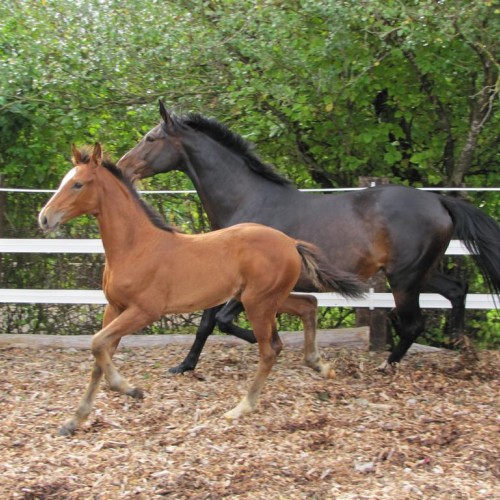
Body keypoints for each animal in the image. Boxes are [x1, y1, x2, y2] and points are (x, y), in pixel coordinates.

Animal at [37, 144, 362, 434]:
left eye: (78, 184)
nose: (44, 218)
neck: (136, 246)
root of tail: (290, 242)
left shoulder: (144, 311)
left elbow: (96, 344)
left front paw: (131, 389)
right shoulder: (114, 308)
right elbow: (99, 355)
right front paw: (73, 421)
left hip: (258, 303)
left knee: (270, 350)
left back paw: (241, 407)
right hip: (267, 298)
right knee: (308, 304)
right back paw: (319, 365)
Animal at [118, 100, 500, 372]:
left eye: (150, 138)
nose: (122, 167)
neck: (248, 200)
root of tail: (438, 199)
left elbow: (225, 321)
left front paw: (271, 343)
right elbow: (207, 323)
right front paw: (183, 366)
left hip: (404, 279)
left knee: (413, 323)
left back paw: (386, 366)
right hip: (421, 272)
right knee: (457, 290)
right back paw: (462, 352)